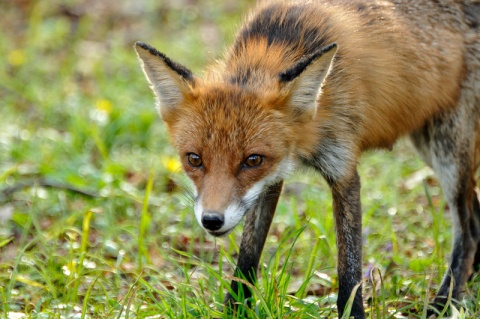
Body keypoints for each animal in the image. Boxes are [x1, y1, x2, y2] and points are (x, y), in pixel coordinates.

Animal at [133, 0, 480, 318]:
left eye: (252, 160)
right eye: (194, 159)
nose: (212, 220)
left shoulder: (343, 170)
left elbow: (349, 271)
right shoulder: (271, 181)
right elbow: (247, 258)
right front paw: (235, 310)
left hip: (448, 150)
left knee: (468, 232)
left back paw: (444, 302)